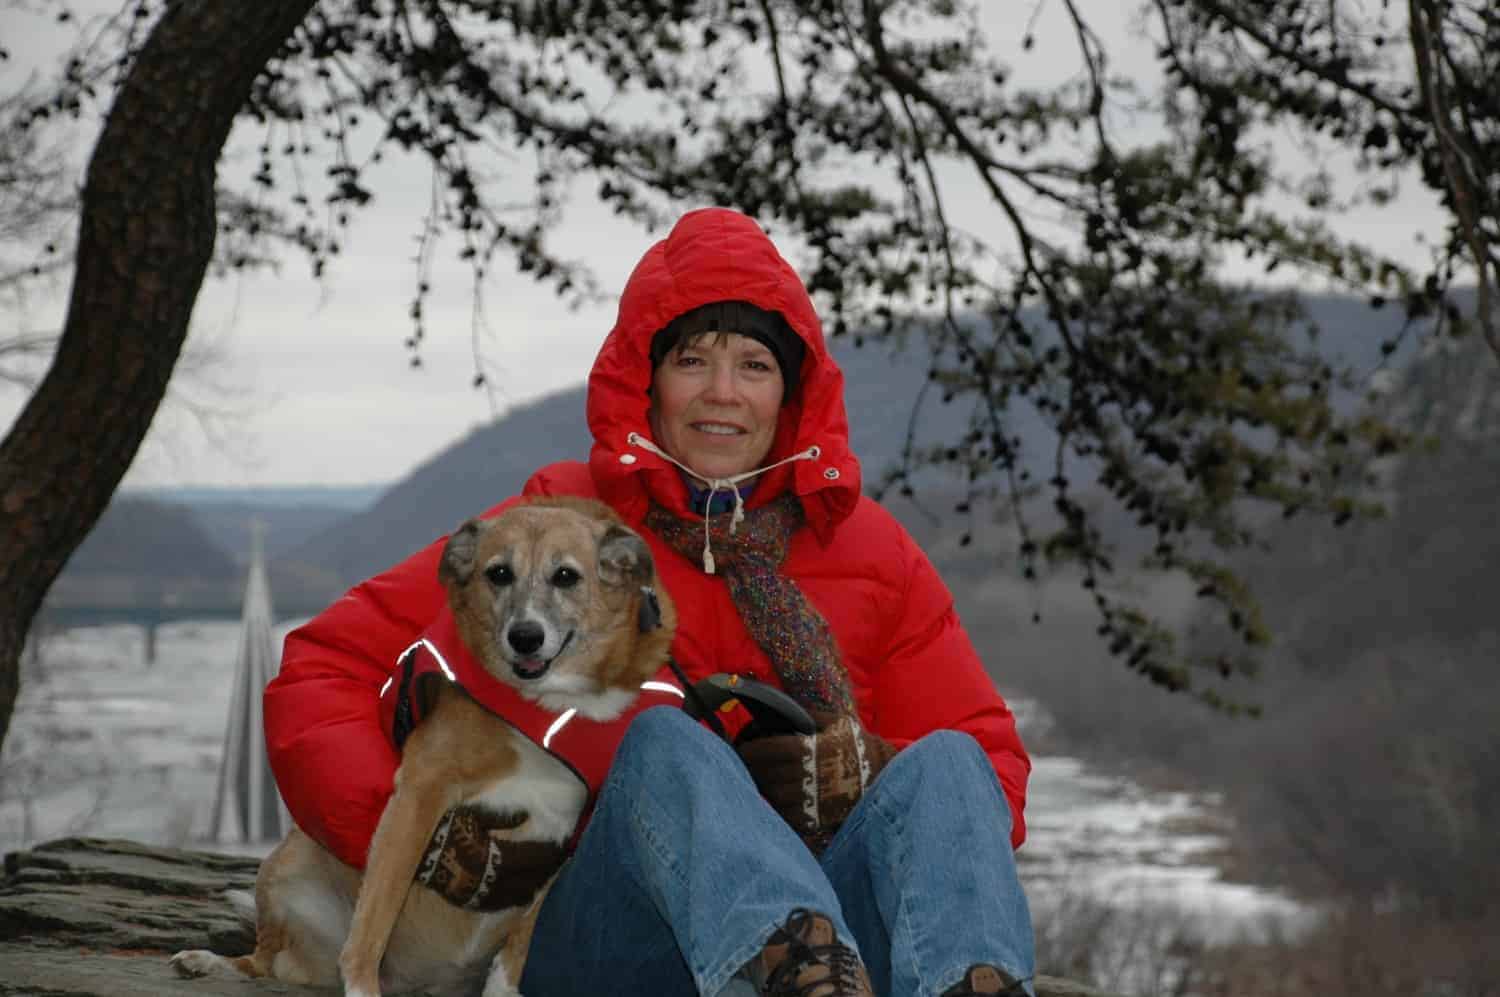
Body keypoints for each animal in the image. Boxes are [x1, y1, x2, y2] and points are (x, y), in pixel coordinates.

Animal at [170, 497, 681, 995]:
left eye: (566, 576)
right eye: (498, 573)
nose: (524, 637)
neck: (549, 707)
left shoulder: (570, 842)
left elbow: (518, 949)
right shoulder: (420, 793)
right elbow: (372, 926)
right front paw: (362, 985)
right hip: (289, 866)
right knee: (264, 959)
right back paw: (206, 961)